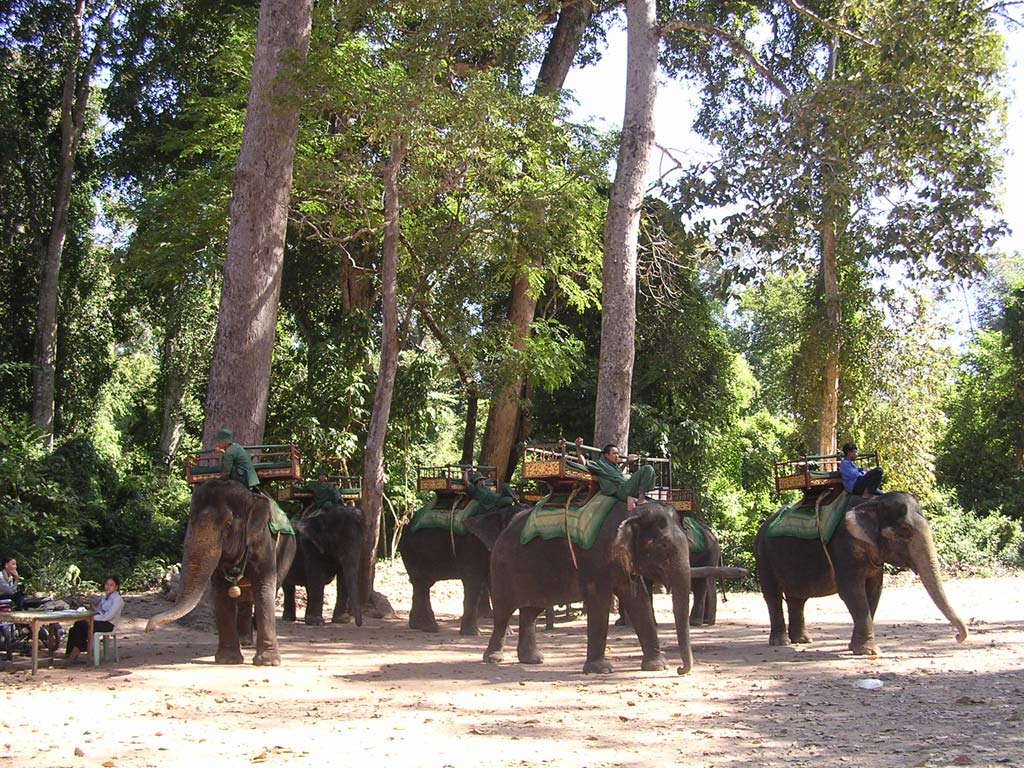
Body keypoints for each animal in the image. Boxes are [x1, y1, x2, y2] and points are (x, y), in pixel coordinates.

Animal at [145, 481, 296, 667]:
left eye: (228, 524)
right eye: (190, 521)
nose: (148, 628)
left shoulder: (264, 542)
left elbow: (264, 586)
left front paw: (268, 662)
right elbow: (220, 592)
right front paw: (228, 660)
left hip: (287, 553)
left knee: (266, 591)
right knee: (245, 598)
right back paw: (245, 642)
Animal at [397, 505, 520, 638]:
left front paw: (508, 633)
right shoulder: (472, 546)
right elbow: (473, 582)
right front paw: (473, 634)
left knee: (421, 584)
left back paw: (417, 625)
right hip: (414, 552)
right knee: (422, 583)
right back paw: (430, 627)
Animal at [479, 501, 745, 675]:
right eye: (661, 545)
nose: (680, 669)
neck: (632, 511)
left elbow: (638, 598)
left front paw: (657, 666)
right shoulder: (595, 557)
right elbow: (599, 600)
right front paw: (602, 670)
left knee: (531, 610)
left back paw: (533, 660)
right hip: (502, 568)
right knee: (504, 612)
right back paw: (494, 659)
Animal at [753, 493, 966, 655]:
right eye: (905, 531)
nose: (957, 637)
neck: (874, 501)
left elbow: (874, 590)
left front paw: (855, 647)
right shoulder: (844, 544)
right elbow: (852, 591)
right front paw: (869, 651)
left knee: (797, 598)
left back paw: (803, 640)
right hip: (763, 555)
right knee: (773, 596)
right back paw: (782, 642)